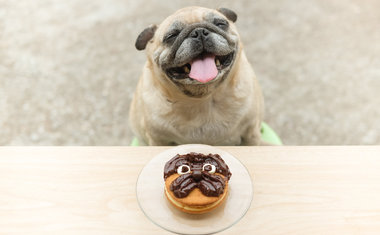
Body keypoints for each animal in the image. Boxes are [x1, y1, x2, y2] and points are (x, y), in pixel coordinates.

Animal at [130, 6, 264, 145]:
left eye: (221, 24)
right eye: (171, 36)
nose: (199, 32)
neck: (202, 100)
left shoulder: (251, 134)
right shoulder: (158, 141)